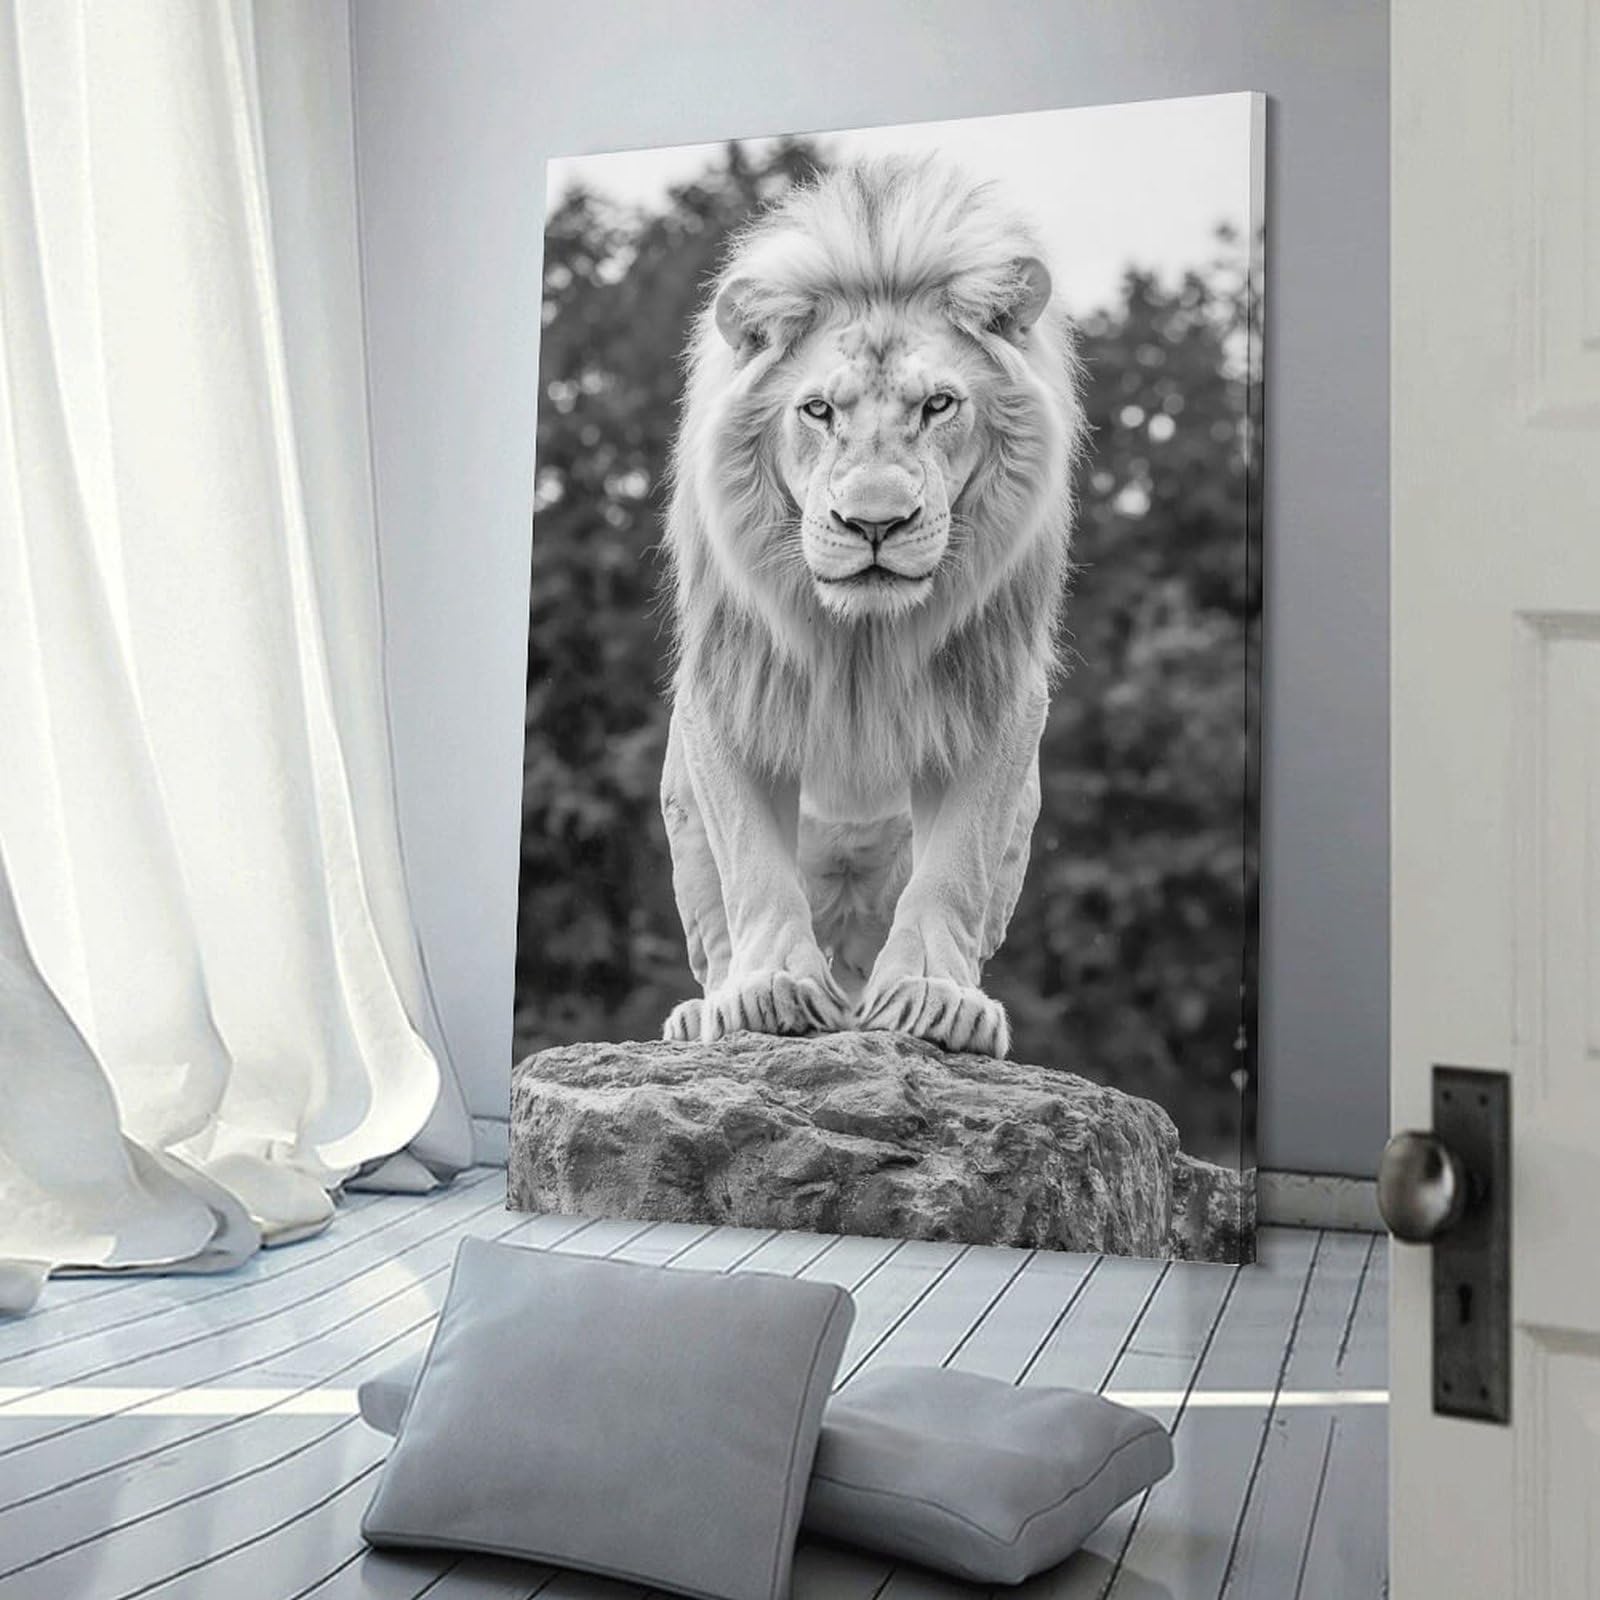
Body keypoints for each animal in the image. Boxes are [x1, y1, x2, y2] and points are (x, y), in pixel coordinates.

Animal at [658, 155, 1082, 1058]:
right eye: (819, 410)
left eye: (938, 405)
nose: (876, 523)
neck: (864, 639)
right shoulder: (727, 680)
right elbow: (753, 863)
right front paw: (766, 992)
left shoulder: (999, 690)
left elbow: (955, 865)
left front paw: (934, 996)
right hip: (680, 820)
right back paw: (700, 1015)